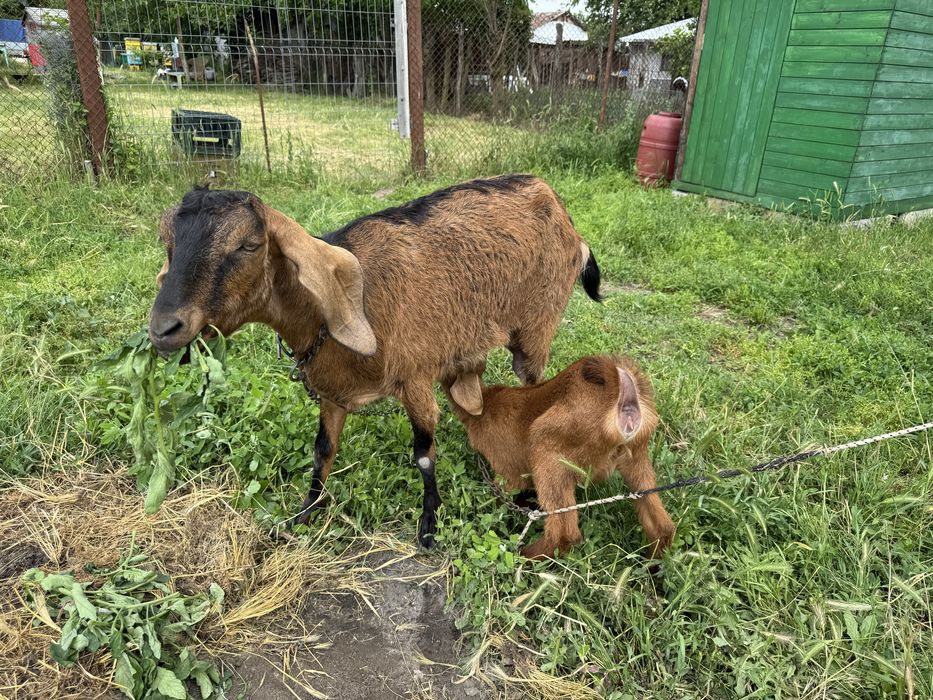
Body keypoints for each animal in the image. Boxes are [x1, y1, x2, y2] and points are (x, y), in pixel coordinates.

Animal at [147, 175, 601, 548]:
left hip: (535, 330)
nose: (164, 328)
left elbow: (423, 455)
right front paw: (304, 513)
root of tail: (564, 215)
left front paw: (429, 526)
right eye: (168, 243)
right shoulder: (331, 392)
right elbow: (322, 450)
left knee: (531, 385)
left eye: (248, 245)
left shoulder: (414, 376)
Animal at [445, 355, 675, 559]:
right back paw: (653, 566)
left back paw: (524, 557)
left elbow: (505, 496)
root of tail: (621, 389)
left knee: (564, 533)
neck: (485, 406)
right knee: (662, 524)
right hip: (637, 457)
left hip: (546, 449)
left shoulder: (508, 473)